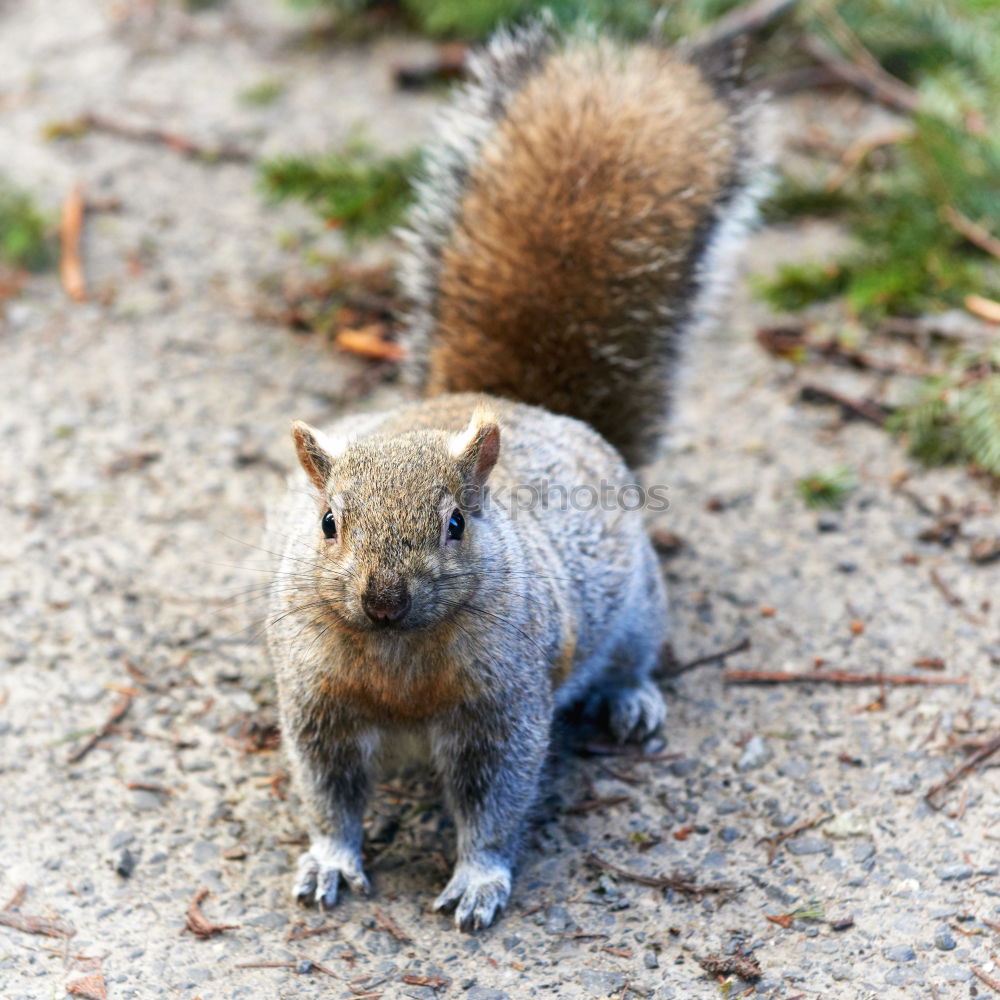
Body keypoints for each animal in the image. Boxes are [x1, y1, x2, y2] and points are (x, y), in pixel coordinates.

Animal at [266, 19, 756, 932]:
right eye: (327, 523)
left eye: (457, 523)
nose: (384, 597)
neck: (397, 654)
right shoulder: (317, 705)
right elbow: (329, 794)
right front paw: (329, 862)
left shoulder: (505, 709)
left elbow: (494, 802)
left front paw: (479, 880)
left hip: (639, 604)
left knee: (635, 657)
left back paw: (632, 699)